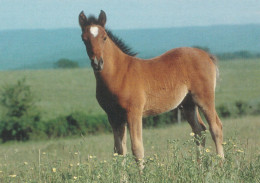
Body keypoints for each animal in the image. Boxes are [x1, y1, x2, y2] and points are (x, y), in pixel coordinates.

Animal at [78, 10, 224, 166]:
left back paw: (221, 165)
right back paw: (199, 167)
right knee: (199, 131)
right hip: (188, 104)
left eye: (104, 37)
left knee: (216, 128)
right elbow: (119, 151)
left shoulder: (133, 113)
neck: (119, 73)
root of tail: (206, 55)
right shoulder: (114, 117)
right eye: (84, 39)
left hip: (204, 99)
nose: (97, 63)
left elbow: (137, 149)